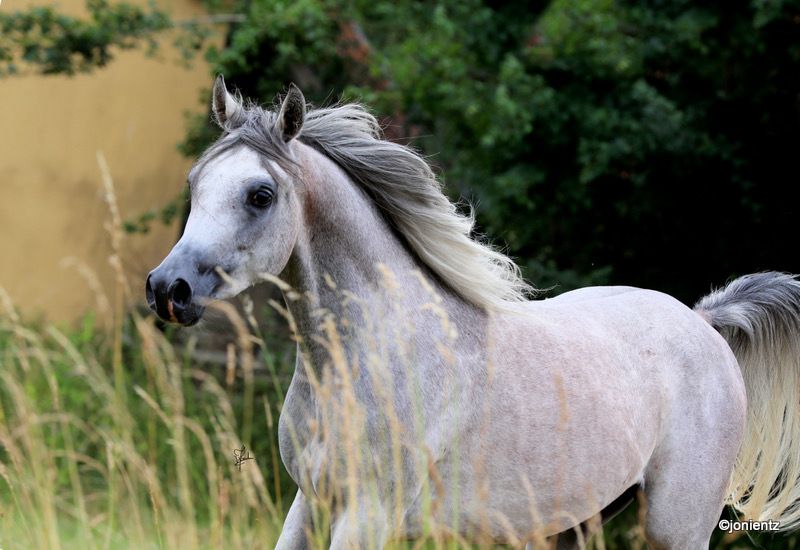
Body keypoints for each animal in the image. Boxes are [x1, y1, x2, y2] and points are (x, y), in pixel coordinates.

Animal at [146, 76, 800, 549]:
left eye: (261, 195)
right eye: (196, 182)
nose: (167, 290)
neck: (370, 358)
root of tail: (702, 320)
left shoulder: (367, 515)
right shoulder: (310, 503)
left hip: (675, 525)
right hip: (575, 520)